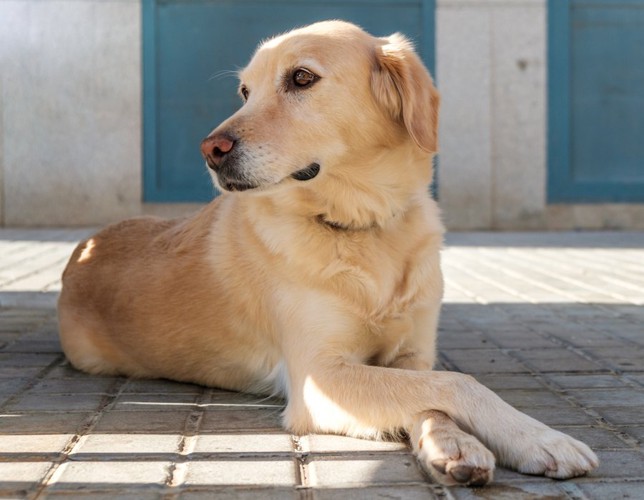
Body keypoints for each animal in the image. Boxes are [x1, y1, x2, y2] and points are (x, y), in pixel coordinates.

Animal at [57, 21, 596, 486]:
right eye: (245, 92)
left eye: (301, 77)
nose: (210, 149)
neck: (361, 226)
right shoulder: (318, 377)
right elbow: (455, 385)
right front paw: (539, 439)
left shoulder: (411, 355)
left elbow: (432, 393)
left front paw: (455, 444)